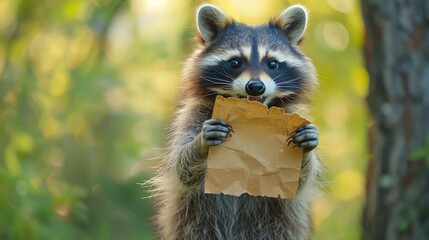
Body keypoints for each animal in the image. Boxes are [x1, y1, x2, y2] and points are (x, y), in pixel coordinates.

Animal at [150, 4, 320, 240]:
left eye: (272, 63)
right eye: (235, 62)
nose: (255, 86)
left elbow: (298, 182)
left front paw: (307, 148)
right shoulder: (193, 114)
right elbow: (181, 167)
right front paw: (200, 142)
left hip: (275, 225)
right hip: (194, 223)